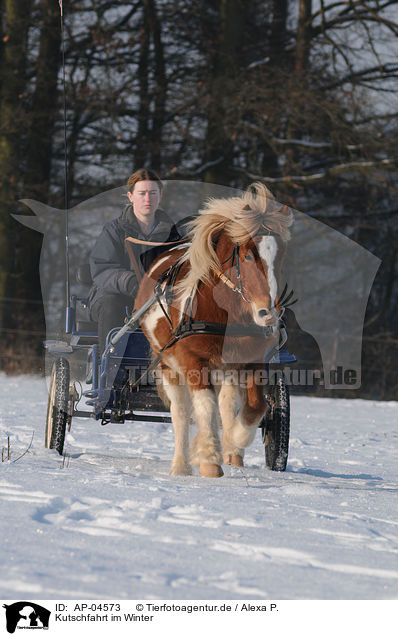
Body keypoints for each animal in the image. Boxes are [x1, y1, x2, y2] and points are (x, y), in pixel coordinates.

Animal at [135, 183, 294, 476]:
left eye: (280, 256)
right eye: (247, 255)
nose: (267, 313)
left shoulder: (252, 362)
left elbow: (256, 406)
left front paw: (235, 440)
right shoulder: (192, 361)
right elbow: (204, 407)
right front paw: (209, 458)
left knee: (228, 403)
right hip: (167, 363)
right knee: (181, 411)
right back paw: (181, 464)